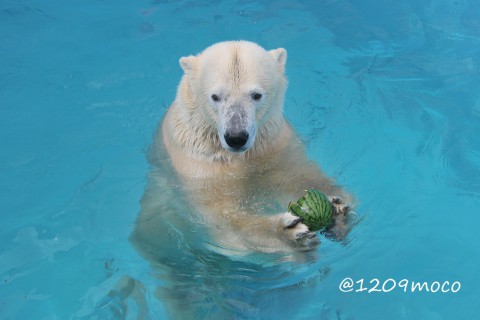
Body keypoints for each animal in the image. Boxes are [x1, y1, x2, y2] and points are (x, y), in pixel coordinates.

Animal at [131, 40, 352, 256]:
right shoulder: (198, 164)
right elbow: (223, 216)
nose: (236, 137)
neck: (238, 156)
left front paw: (336, 206)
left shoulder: (271, 146)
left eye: (256, 95)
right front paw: (288, 232)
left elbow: (293, 174)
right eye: (215, 96)